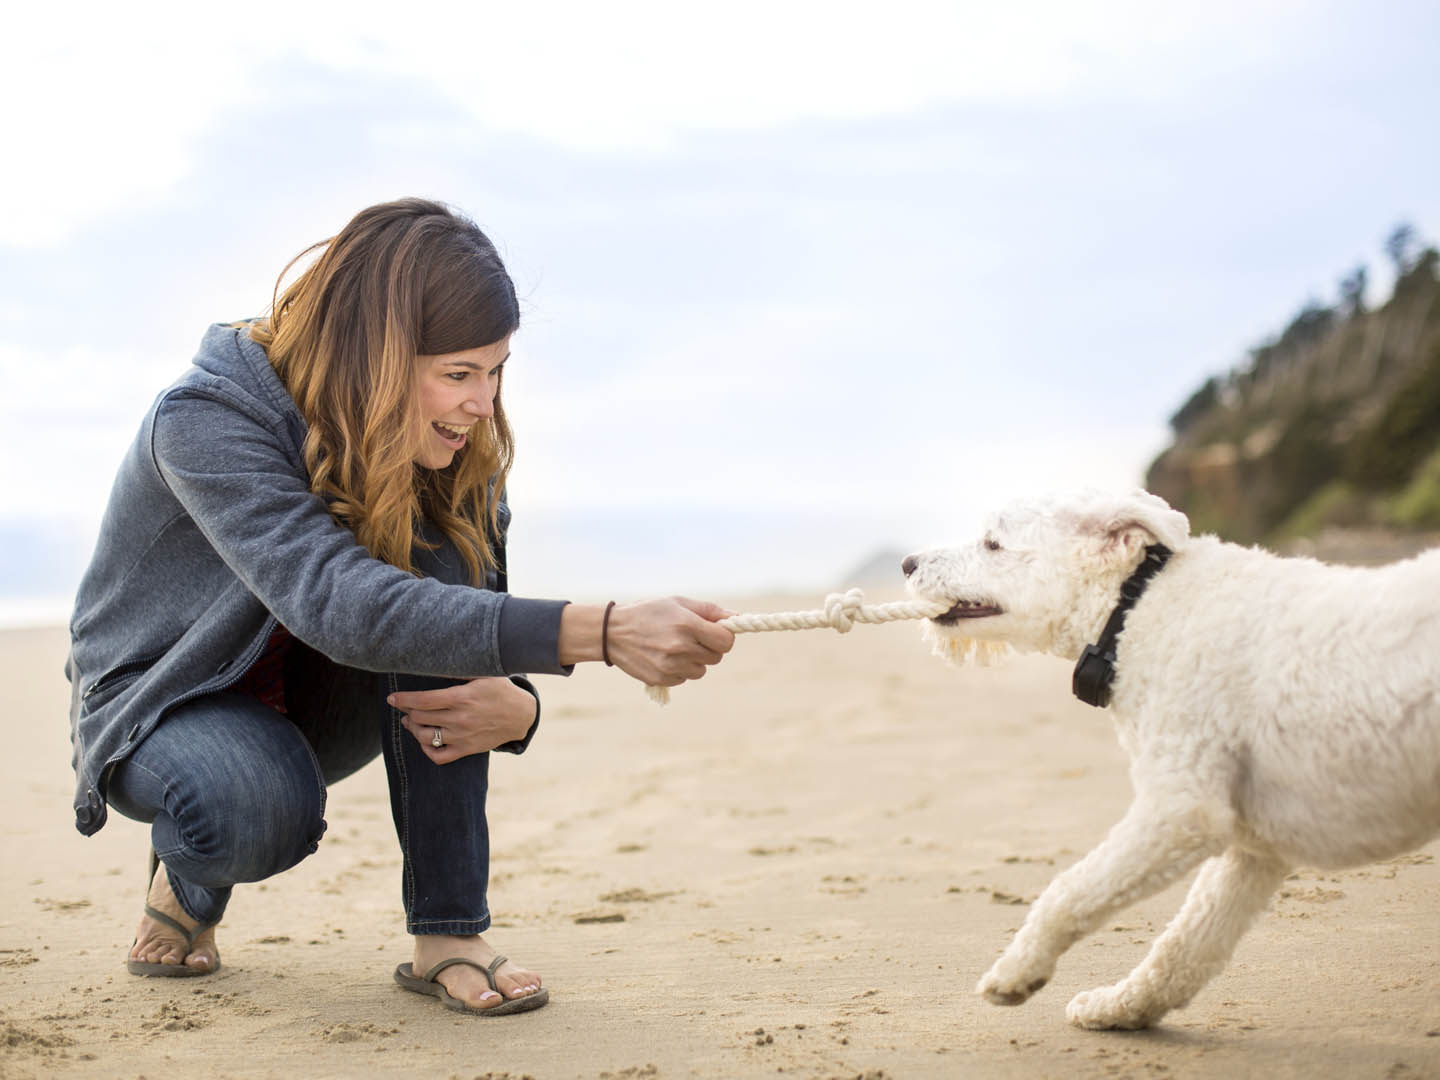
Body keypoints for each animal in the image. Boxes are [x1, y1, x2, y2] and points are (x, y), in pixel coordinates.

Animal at [904, 489, 1434, 1031]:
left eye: (993, 543)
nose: (907, 564)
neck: (1134, 608)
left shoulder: (1181, 808)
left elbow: (1069, 892)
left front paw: (1016, 972)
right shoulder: (1252, 848)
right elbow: (1186, 947)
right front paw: (1119, 1007)